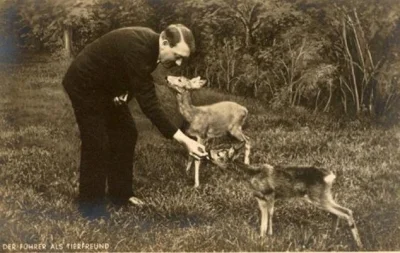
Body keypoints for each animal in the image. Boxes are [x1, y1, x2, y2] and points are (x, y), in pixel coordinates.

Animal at [208, 143, 364, 250]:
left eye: (220, 153)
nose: (209, 151)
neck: (251, 175)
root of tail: (330, 177)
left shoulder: (270, 194)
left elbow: (270, 215)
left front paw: (270, 236)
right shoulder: (260, 199)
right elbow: (263, 221)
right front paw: (261, 239)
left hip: (318, 196)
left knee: (346, 211)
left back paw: (358, 244)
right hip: (323, 196)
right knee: (337, 213)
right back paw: (332, 238)